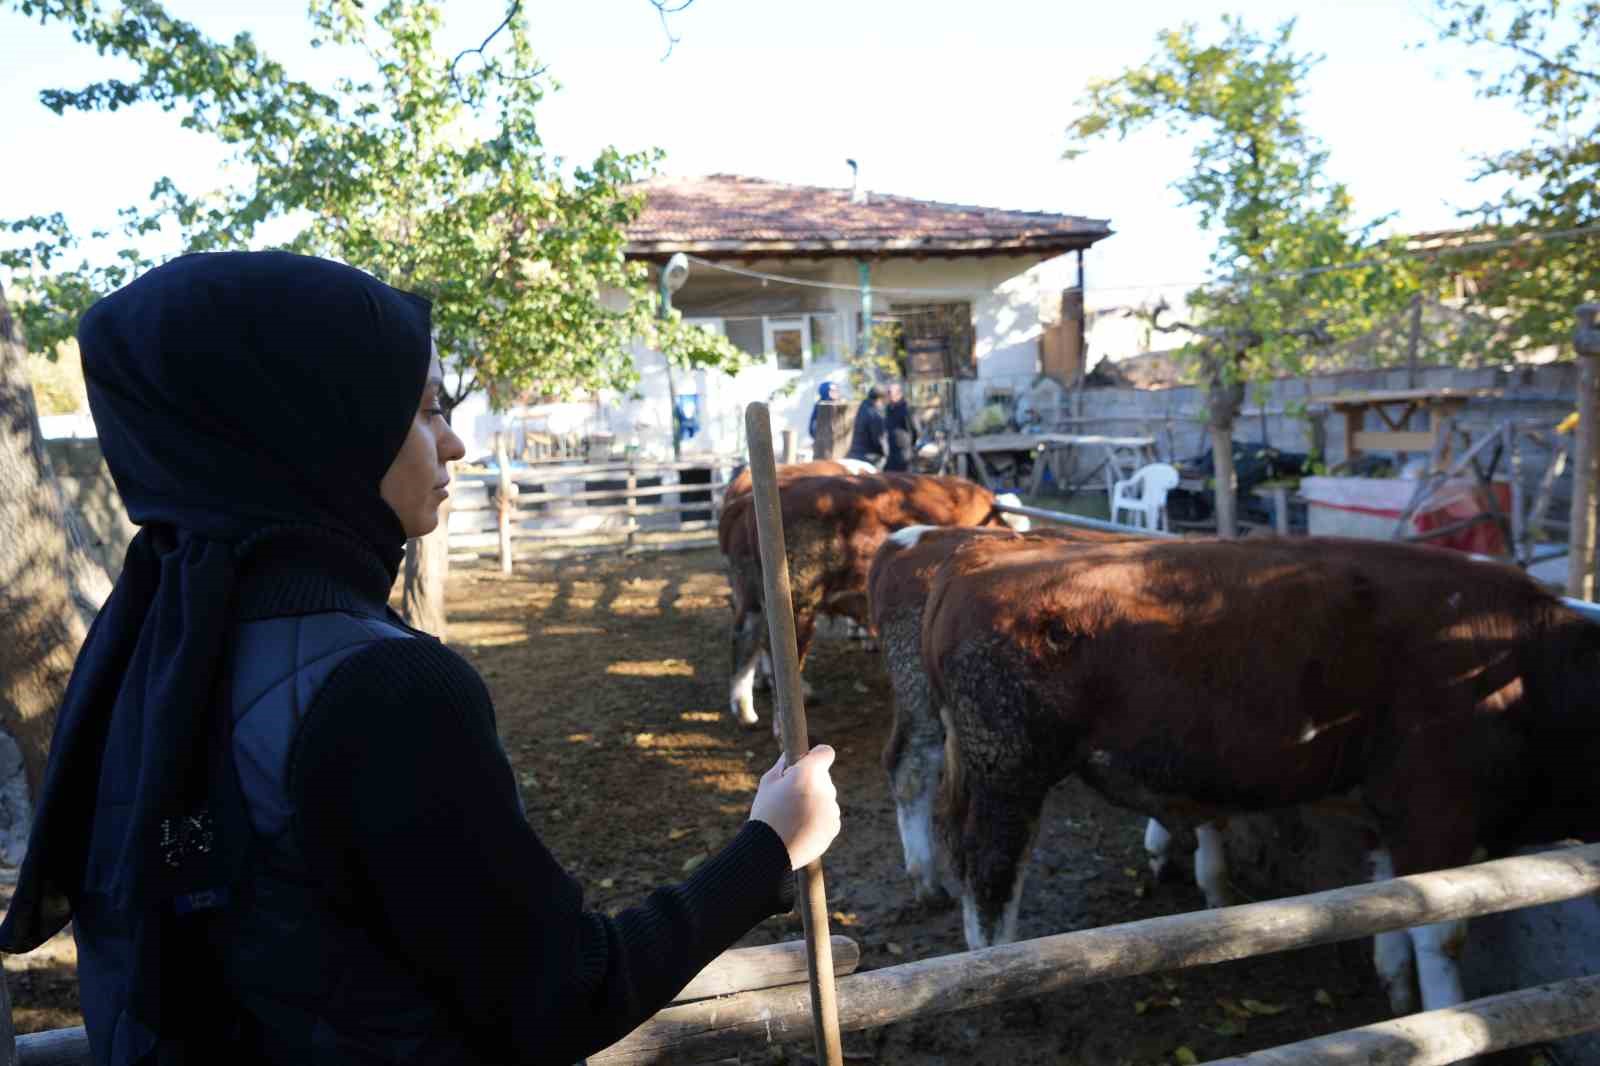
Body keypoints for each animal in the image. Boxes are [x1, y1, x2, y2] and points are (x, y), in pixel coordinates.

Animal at [723, 470, 1030, 726]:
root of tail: (747, 503)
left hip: (751, 599)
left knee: (744, 640)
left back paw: (745, 712)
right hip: (797, 605)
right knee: (777, 660)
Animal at [915, 531, 1600, 1011]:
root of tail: (980, 554)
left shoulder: (1391, 814)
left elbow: (1391, 906)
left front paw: (1397, 992)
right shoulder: (1438, 814)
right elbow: (1439, 931)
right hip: (1008, 772)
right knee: (990, 876)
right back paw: (1001, 979)